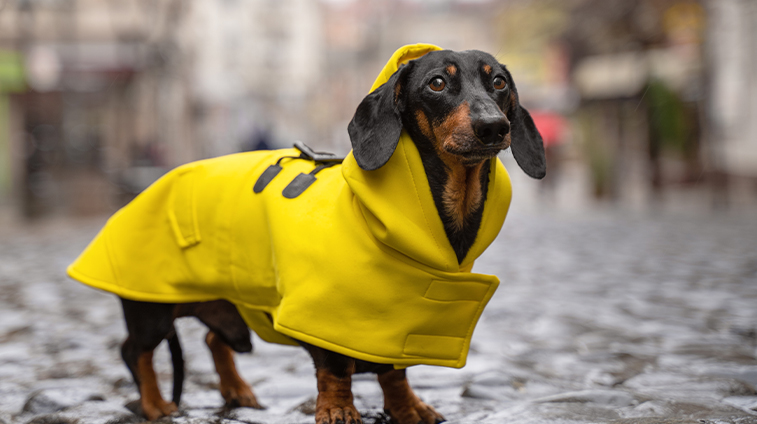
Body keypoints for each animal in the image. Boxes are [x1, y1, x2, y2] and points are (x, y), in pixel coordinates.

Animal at [69, 44, 544, 422]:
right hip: (151, 307)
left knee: (211, 337)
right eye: (437, 84)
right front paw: (338, 409)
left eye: (499, 82)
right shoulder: (325, 315)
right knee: (136, 352)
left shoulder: (395, 326)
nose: (493, 126)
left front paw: (407, 408)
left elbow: (394, 373)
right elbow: (334, 369)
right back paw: (154, 405)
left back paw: (236, 391)